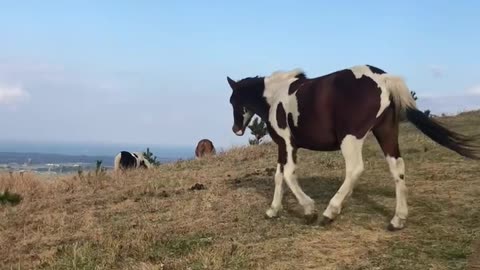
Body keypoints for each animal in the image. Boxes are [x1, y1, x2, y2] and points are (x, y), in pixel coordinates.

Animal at [226, 65, 480, 230]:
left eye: (233, 100)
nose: (235, 129)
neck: (275, 95)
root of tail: (382, 78)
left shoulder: (287, 144)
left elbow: (288, 175)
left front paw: (309, 210)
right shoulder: (284, 147)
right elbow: (279, 177)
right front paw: (273, 210)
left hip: (351, 139)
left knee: (355, 169)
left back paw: (330, 212)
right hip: (386, 134)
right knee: (397, 169)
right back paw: (397, 220)